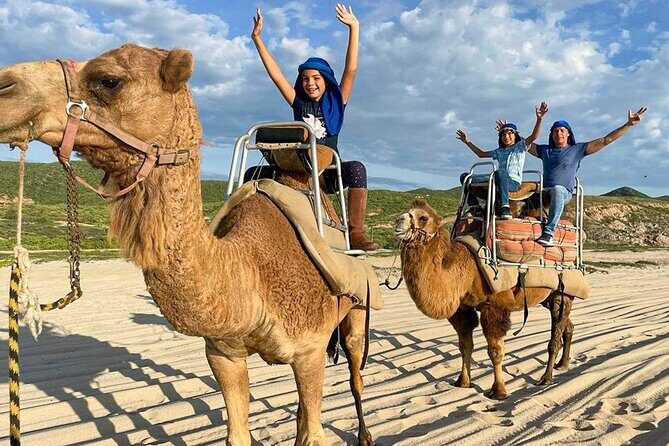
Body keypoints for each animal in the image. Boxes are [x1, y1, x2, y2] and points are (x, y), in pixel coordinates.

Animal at [0, 44, 374, 446]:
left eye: (109, 80)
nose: (4, 85)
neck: (249, 271)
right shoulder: (223, 353)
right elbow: (238, 434)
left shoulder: (309, 350)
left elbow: (314, 434)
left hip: (356, 310)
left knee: (355, 374)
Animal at [395, 199, 574, 399]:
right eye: (408, 211)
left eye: (423, 217)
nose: (398, 222)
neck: (465, 270)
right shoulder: (462, 309)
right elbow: (465, 346)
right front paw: (463, 382)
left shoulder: (495, 307)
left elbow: (495, 352)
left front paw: (498, 391)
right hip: (548, 297)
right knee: (568, 326)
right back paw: (562, 364)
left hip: (563, 292)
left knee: (555, 333)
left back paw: (546, 377)